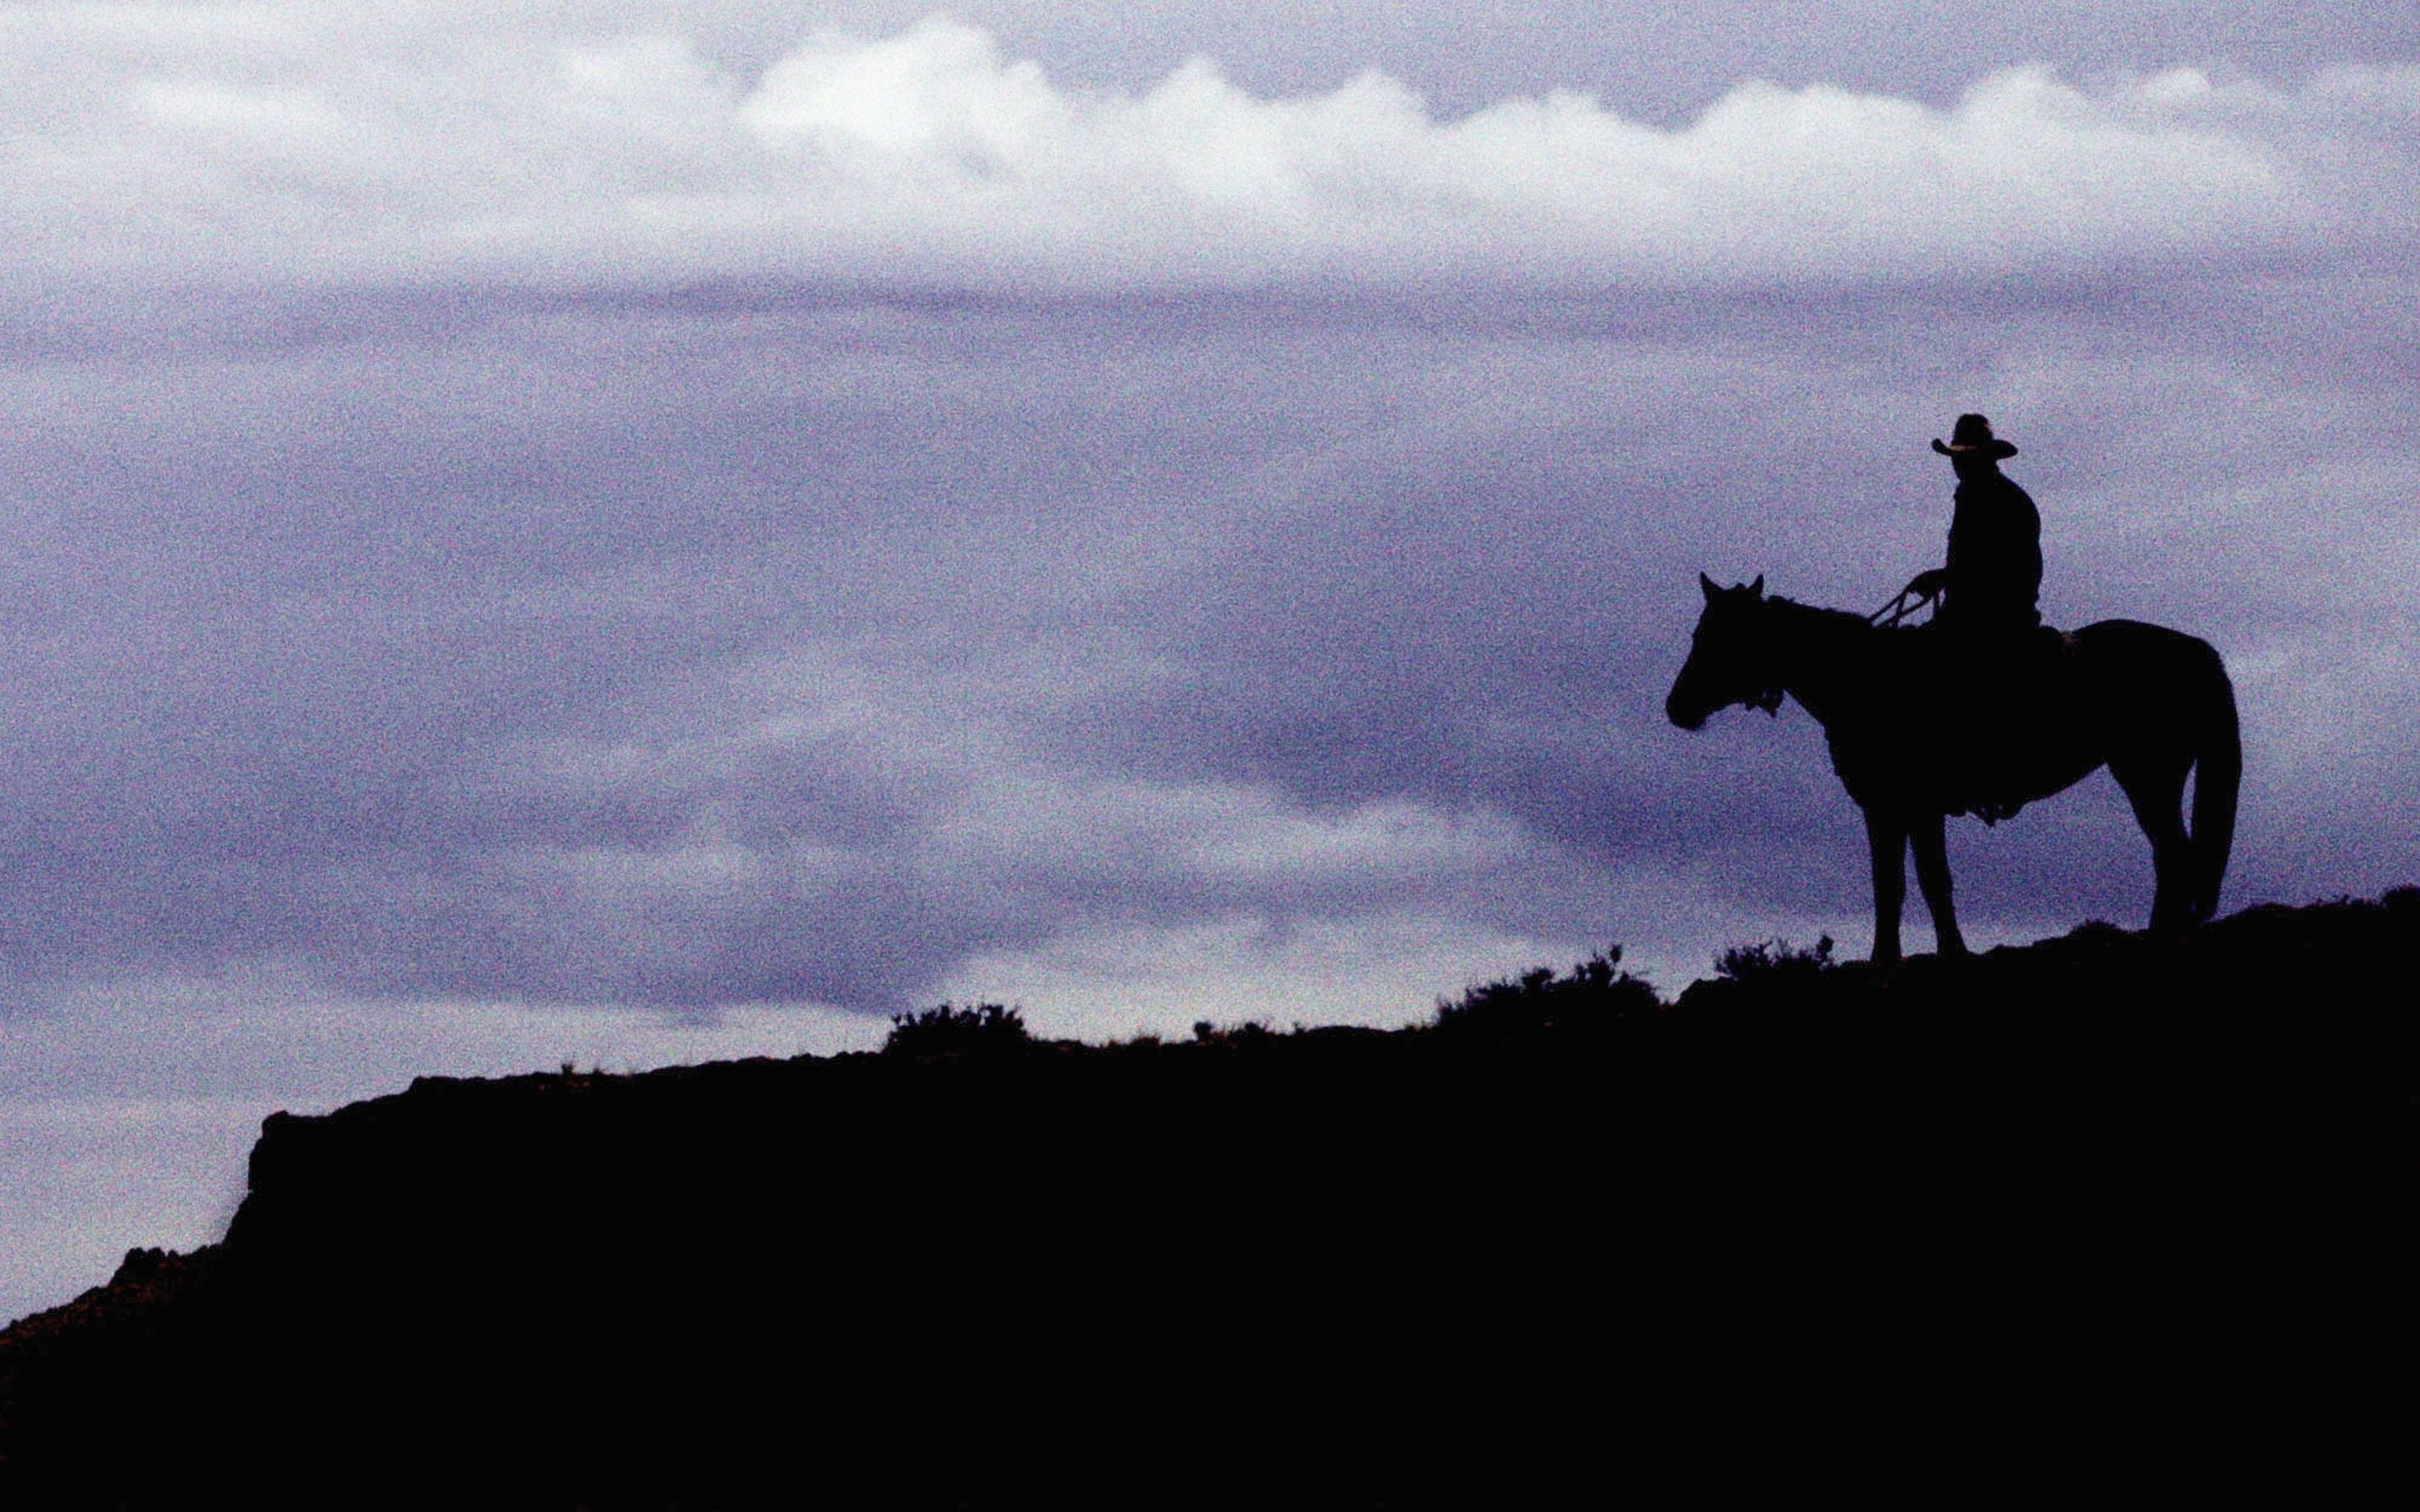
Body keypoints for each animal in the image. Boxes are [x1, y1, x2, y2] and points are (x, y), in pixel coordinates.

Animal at [1665, 571, 2246, 963]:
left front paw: (1923, 955)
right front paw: (1917, 954)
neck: (1863, 680)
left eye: (1720, 637)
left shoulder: (1907, 805)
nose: (1676, 708)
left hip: (2148, 773)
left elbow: (1916, 882)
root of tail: (2197, 651)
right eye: (1698, 634)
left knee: (2175, 853)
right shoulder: (1897, 808)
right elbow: (1906, 883)